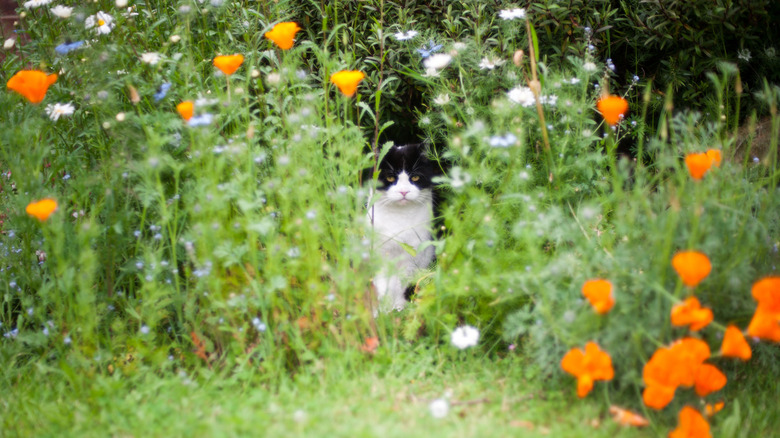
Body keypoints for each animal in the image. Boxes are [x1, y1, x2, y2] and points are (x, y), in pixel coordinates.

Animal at [368, 143, 438, 312]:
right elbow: (382, 283)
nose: (403, 191)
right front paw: (382, 310)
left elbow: (400, 283)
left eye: (415, 177)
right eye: (390, 178)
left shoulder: (412, 257)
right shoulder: (379, 255)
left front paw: (398, 307)